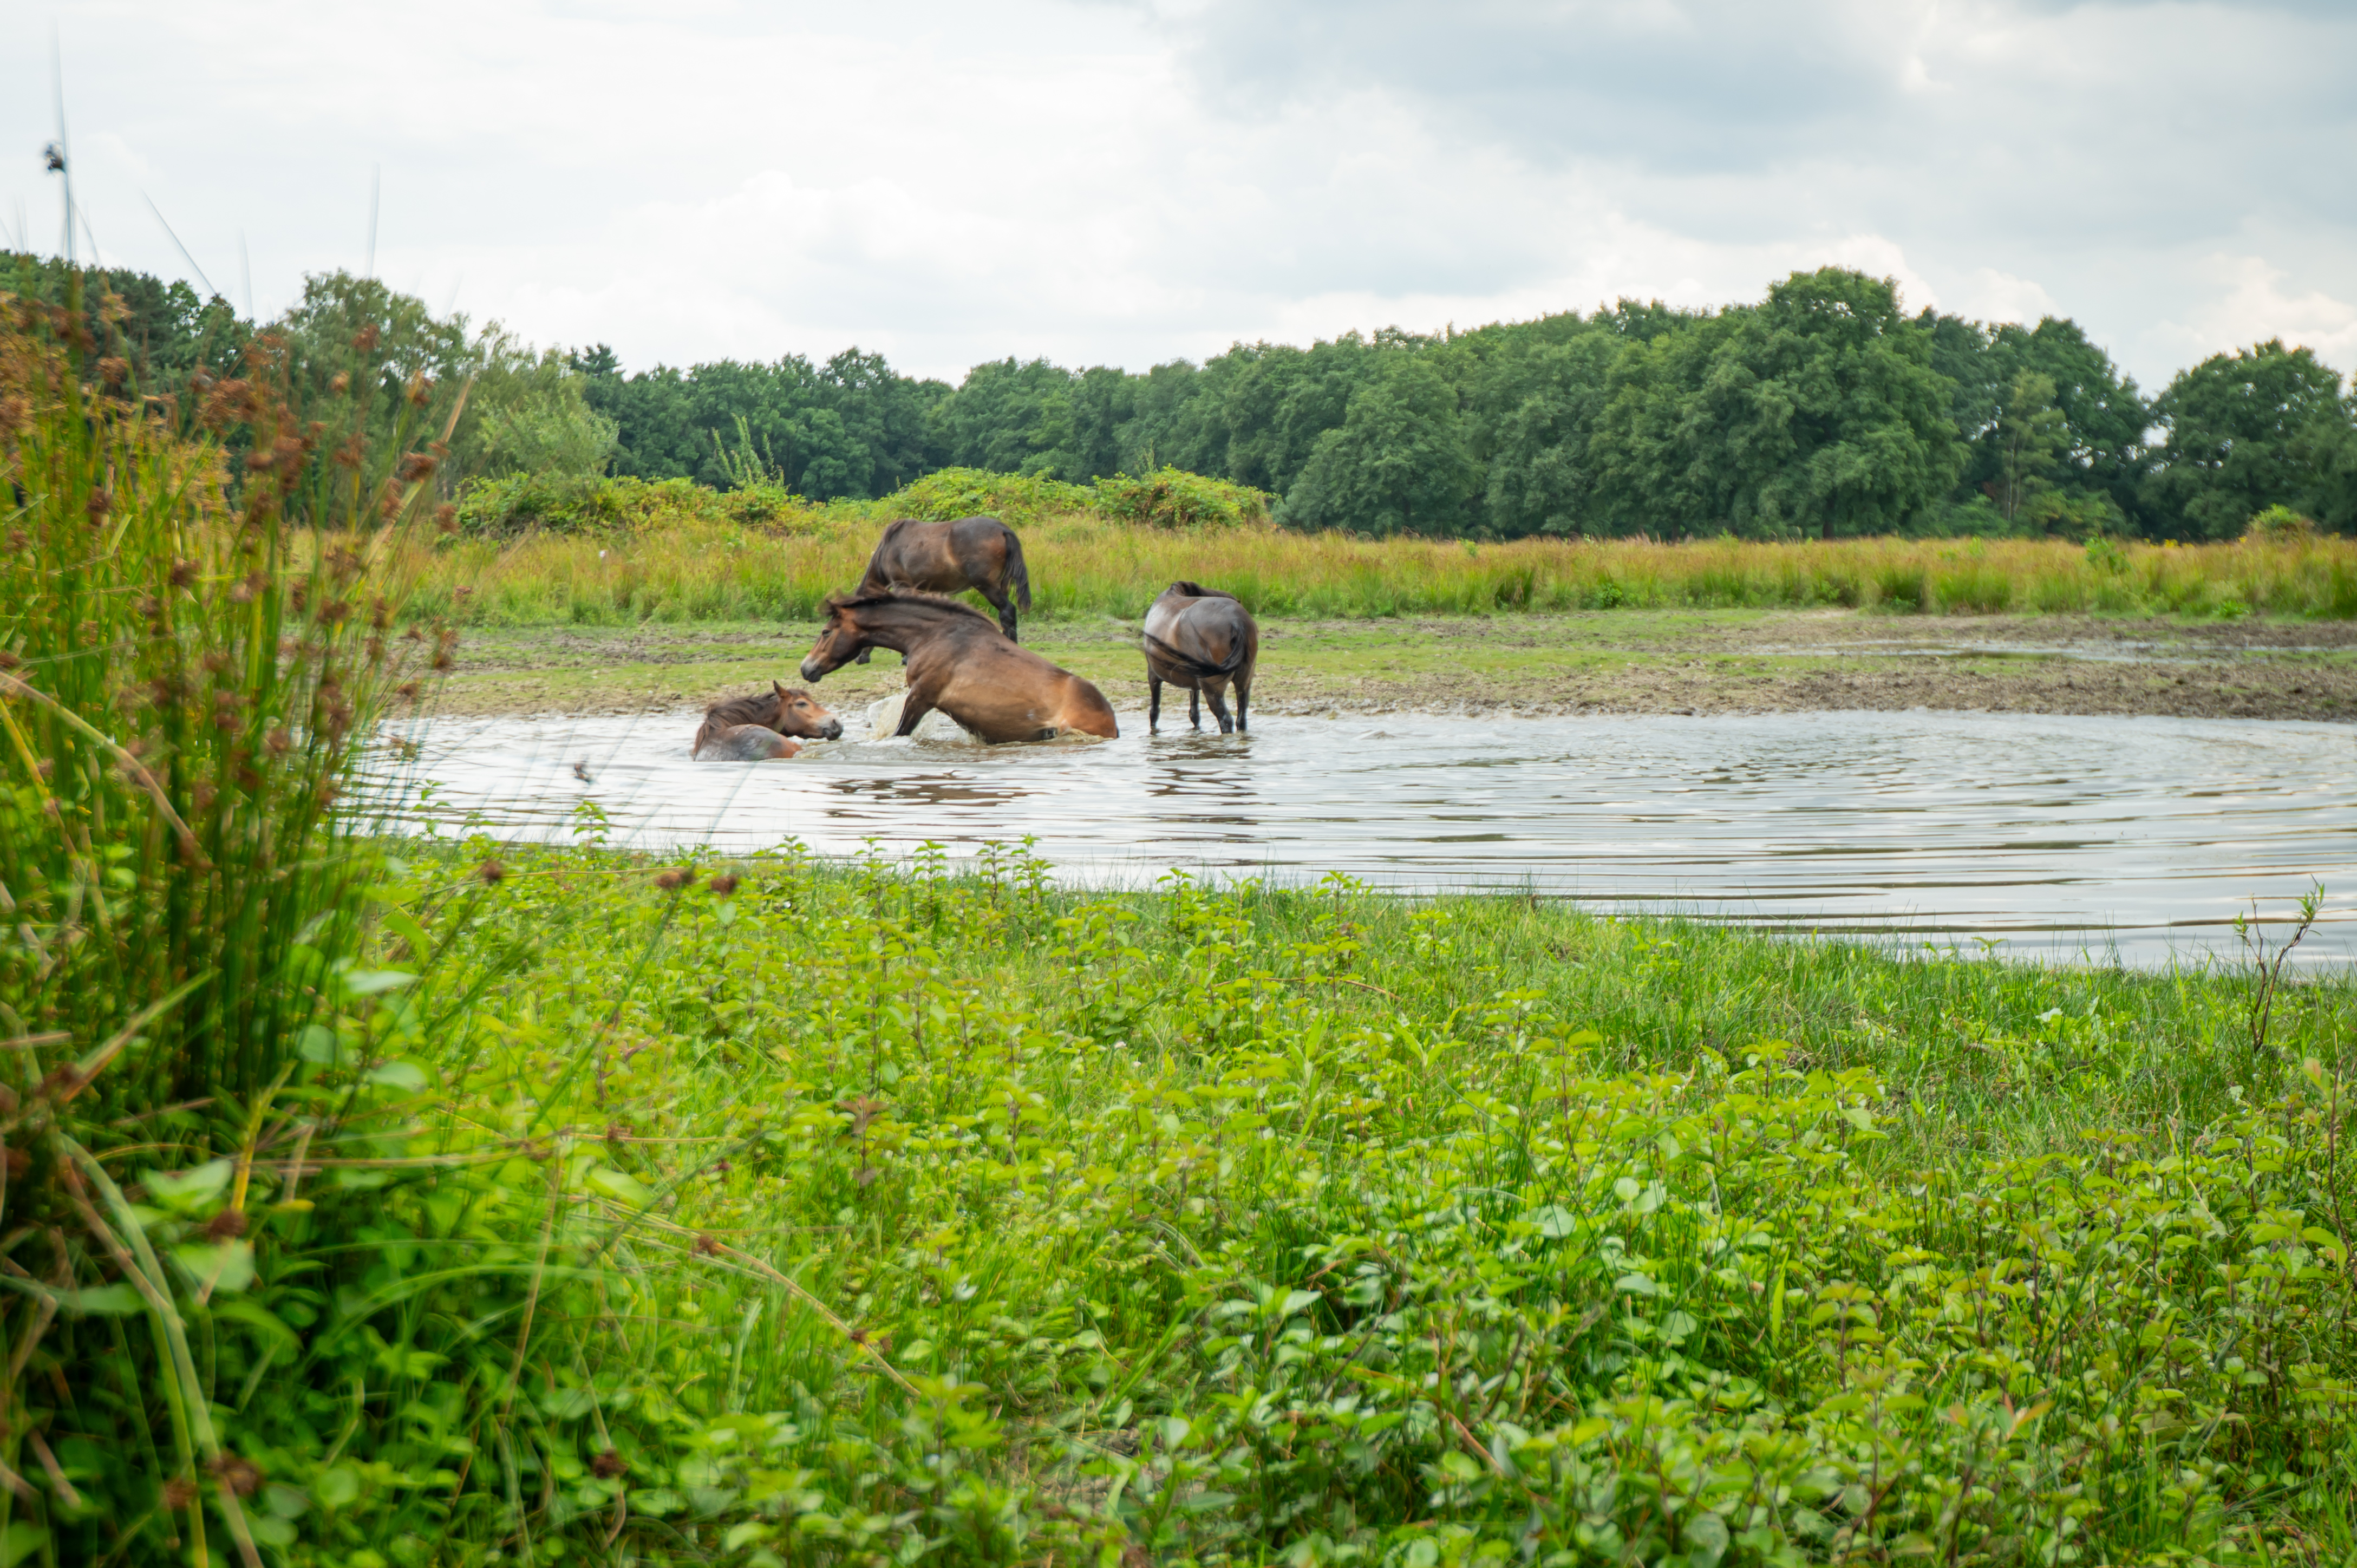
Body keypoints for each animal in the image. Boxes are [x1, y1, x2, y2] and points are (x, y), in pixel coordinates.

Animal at [799, 590, 1118, 743]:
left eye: (826, 632)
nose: (806, 668)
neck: (933, 635)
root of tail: (1112, 723)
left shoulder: (921, 697)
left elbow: (899, 733)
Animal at [852, 515, 1032, 660]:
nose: (860, 658)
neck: (888, 549)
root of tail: (1003, 530)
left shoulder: (902, 586)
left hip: (987, 587)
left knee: (1007, 611)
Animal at [1142, 580, 1257, 734]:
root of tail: (1237, 622)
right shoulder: (1194, 684)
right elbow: (1195, 714)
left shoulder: (1153, 676)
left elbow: (1154, 711)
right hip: (1243, 684)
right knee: (1241, 719)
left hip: (1213, 691)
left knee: (1226, 720)